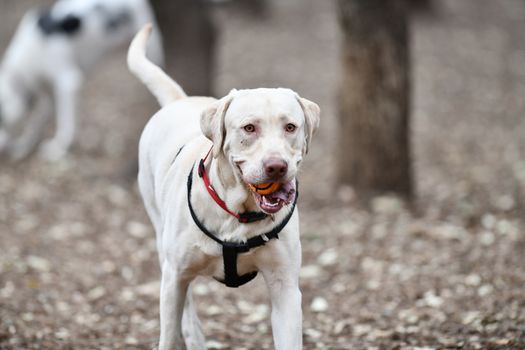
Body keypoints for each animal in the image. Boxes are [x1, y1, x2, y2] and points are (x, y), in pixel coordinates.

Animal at [0, 0, 163, 161]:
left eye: (1, 117)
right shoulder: (50, 95)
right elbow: (36, 122)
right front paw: (23, 146)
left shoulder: (67, 83)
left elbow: (66, 123)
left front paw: (59, 149)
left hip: (151, 52)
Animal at [129, 25, 322, 350]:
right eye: (249, 128)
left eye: (290, 127)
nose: (277, 166)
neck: (238, 214)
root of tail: (179, 100)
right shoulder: (174, 275)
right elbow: (169, 331)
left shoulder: (285, 286)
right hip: (161, 241)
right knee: (183, 305)